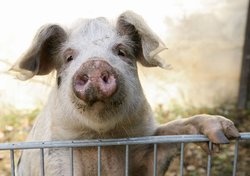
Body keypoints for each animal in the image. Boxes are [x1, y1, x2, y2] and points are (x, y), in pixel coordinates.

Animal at [12, 11, 240, 176]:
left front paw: (227, 134)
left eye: (121, 51)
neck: (101, 139)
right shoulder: (56, 154)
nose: (94, 64)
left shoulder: (144, 147)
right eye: (68, 57)